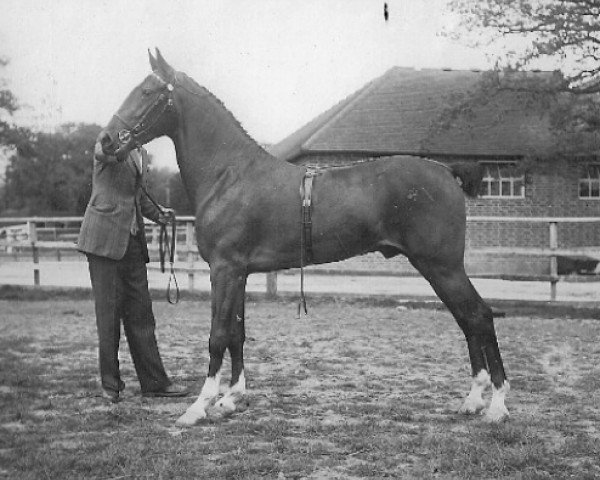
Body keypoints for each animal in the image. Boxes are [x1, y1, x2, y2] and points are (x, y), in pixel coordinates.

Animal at [98, 48, 510, 424]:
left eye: (147, 92)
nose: (105, 141)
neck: (228, 174)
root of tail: (447, 172)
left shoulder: (224, 269)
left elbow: (218, 336)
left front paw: (199, 406)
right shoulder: (239, 272)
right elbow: (237, 334)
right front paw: (231, 399)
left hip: (441, 266)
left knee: (479, 317)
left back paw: (497, 406)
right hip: (438, 268)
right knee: (468, 320)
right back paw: (473, 401)